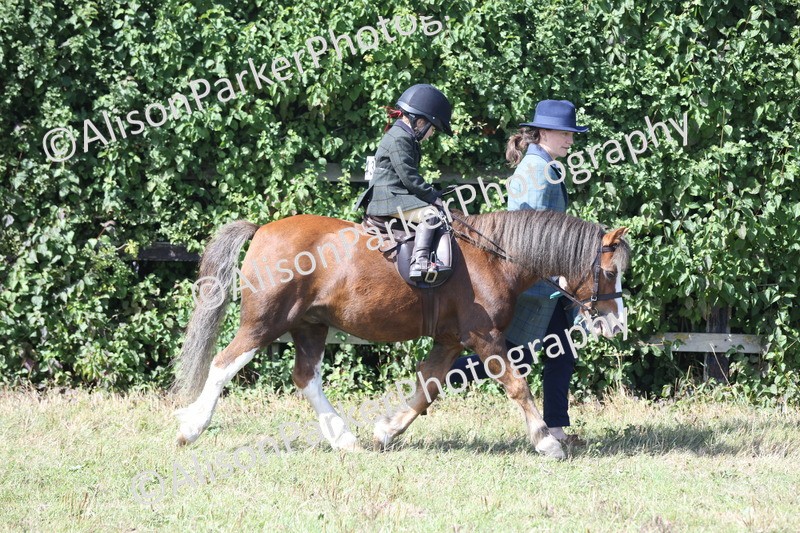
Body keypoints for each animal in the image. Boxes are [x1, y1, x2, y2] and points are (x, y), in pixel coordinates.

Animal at [172, 209, 630, 460]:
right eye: (609, 272)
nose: (617, 325)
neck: (495, 258)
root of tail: (262, 229)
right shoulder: (484, 337)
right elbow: (516, 384)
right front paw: (546, 442)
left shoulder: (451, 340)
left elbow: (428, 388)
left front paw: (387, 431)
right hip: (265, 321)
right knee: (223, 364)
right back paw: (190, 427)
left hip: (310, 324)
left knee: (305, 377)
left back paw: (343, 439)